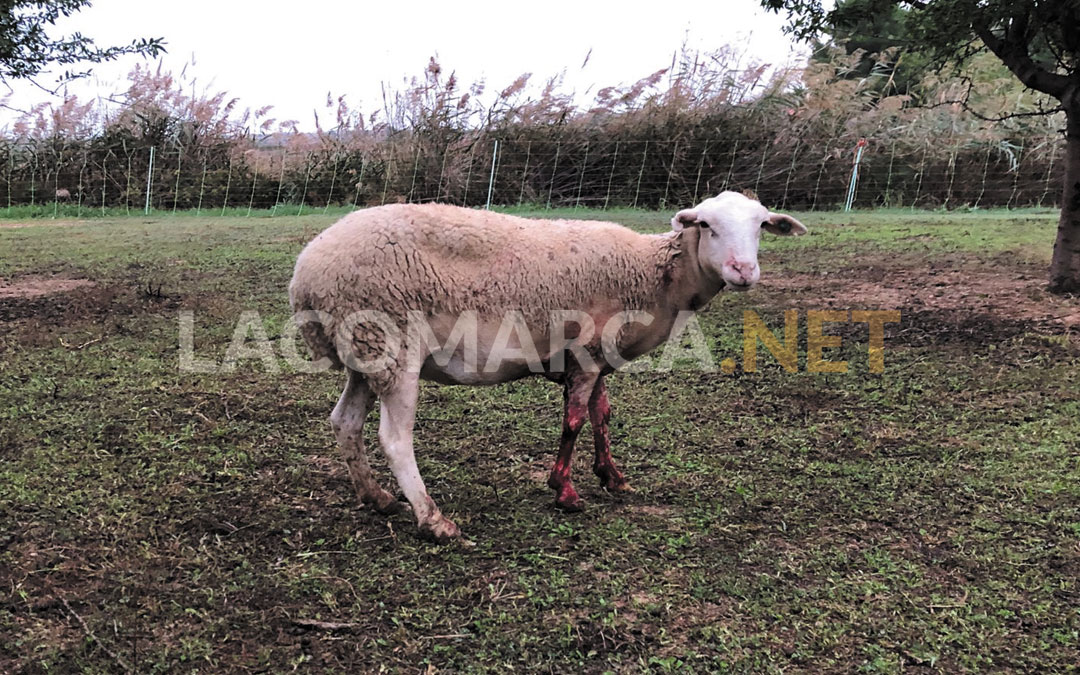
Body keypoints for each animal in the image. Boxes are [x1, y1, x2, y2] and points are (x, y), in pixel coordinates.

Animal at [289, 191, 807, 542]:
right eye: (707, 225)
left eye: (761, 226)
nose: (744, 272)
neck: (656, 275)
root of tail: (305, 273)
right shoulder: (586, 352)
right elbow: (574, 421)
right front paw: (565, 492)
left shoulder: (597, 355)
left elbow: (601, 415)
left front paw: (612, 477)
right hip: (390, 341)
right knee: (394, 439)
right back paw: (434, 520)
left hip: (363, 351)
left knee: (344, 422)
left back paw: (377, 499)